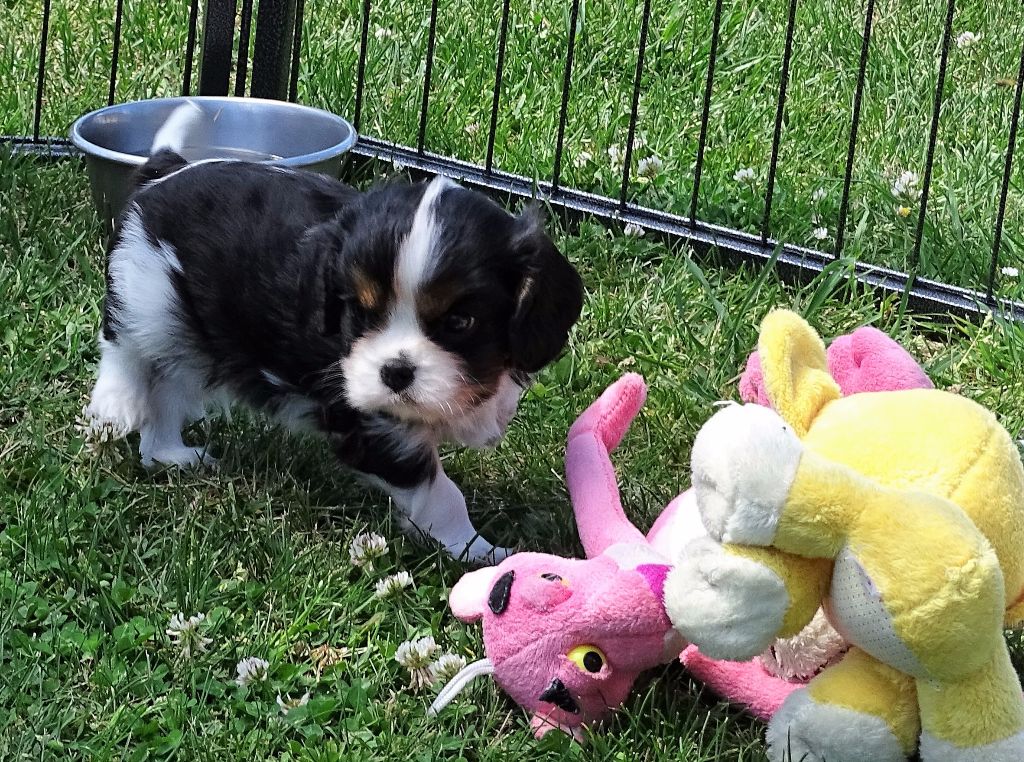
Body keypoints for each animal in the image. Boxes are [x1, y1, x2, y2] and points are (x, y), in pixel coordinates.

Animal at [84, 103, 584, 563]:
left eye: (461, 323)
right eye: (360, 312)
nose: (395, 372)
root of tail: (167, 169)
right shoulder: (372, 426)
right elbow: (441, 495)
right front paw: (479, 552)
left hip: (194, 336)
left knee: (166, 395)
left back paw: (170, 455)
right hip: (146, 293)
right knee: (122, 345)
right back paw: (115, 404)